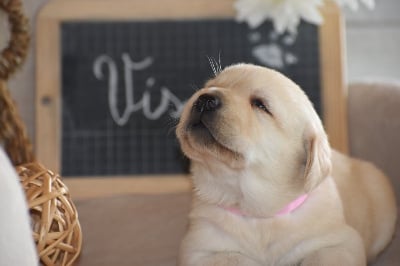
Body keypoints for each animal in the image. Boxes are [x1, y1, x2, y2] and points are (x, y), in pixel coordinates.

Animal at [176, 64, 396, 266]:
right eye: (211, 85)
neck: (257, 212)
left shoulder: (339, 243)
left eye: (260, 104)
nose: (205, 98)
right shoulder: (201, 248)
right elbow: (234, 259)